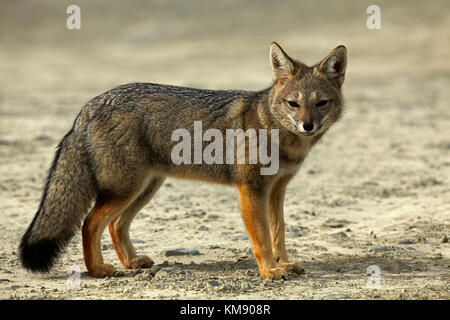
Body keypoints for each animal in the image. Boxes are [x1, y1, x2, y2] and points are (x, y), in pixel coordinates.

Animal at [18, 43, 348, 280]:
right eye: (294, 104)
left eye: (321, 103)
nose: (308, 125)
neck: (276, 133)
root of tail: (89, 106)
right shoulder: (251, 190)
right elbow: (263, 239)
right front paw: (270, 271)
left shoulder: (277, 190)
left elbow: (279, 234)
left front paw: (284, 263)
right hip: (126, 189)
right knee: (90, 223)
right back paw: (98, 270)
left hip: (145, 188)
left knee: (115, 224)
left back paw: (130, 262)